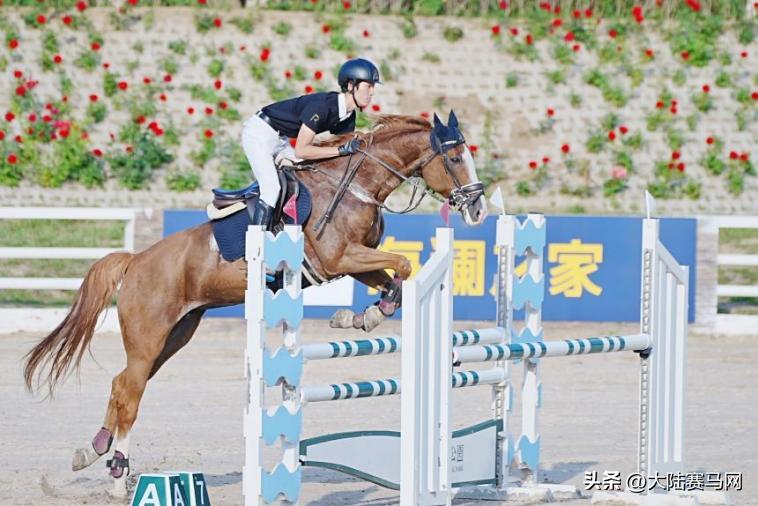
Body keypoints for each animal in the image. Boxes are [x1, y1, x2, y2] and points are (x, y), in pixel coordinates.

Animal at [22, 111, 487, 496]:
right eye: (455, 157)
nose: (479, 209)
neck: (355, 185)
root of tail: (136, 260)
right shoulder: (340, 258)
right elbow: (404, 264)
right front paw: (365, 316)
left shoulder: (353, 262)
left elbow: (395, 279)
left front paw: (361, 316)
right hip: (148, 337)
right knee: (129, 392)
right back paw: (119, 477)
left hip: (175, 335)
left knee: (122, 385)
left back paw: (93, 451)